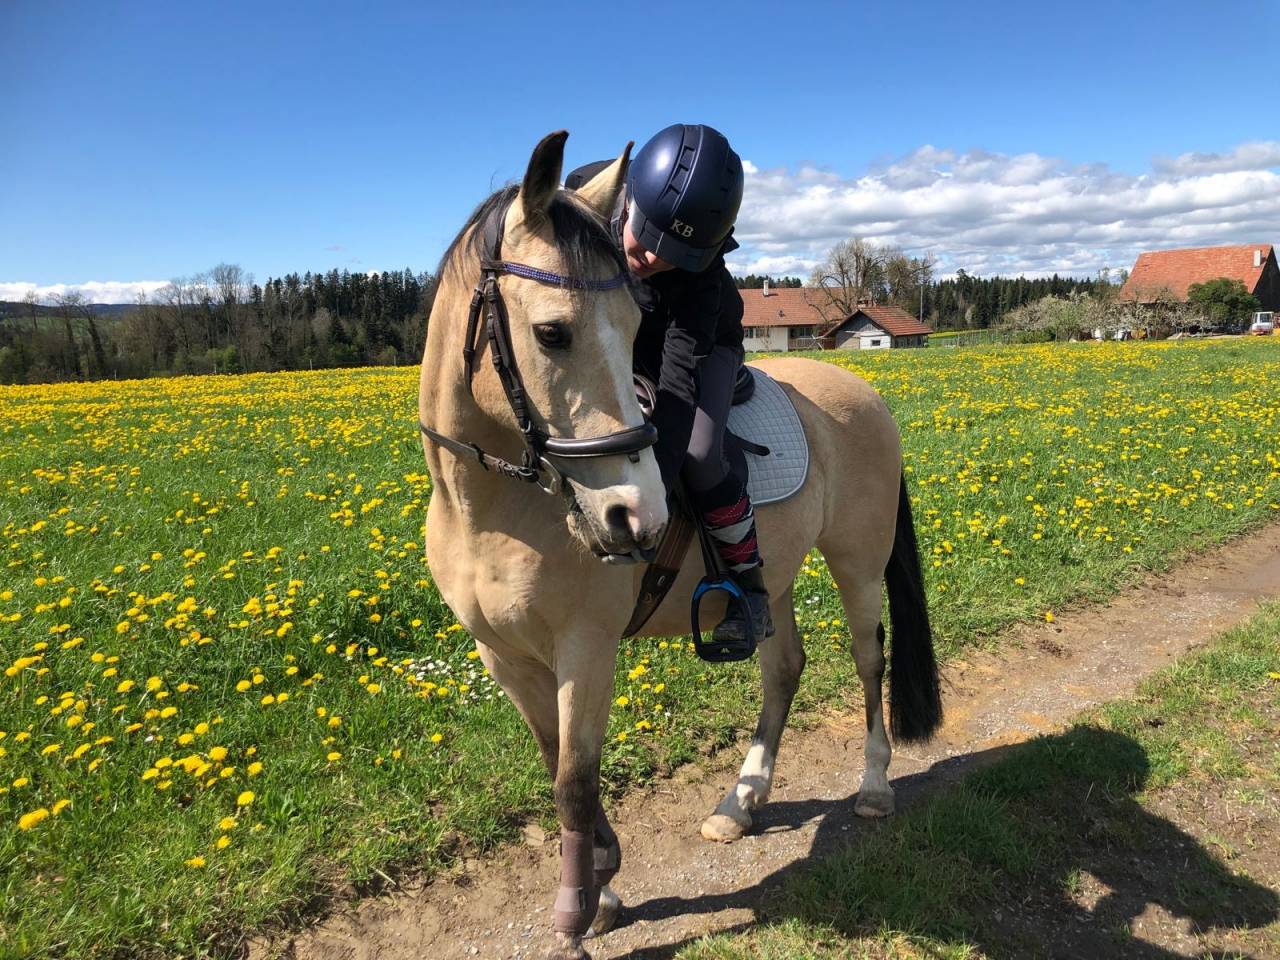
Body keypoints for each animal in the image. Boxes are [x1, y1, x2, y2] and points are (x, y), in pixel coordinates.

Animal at [417, 130, 941, 960]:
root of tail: (864, 392)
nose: (635, 517)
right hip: (775, 580)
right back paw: (741, 800)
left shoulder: (586, 649)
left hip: (856, 566)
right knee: (782, 667)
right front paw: (603, 883)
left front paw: (580, 909)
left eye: (635, 325)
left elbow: (574, 779)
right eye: (552, 333)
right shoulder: (503, 658)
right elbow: (555, 766)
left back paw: (873, 787)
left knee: (869, 661)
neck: (491, 509)